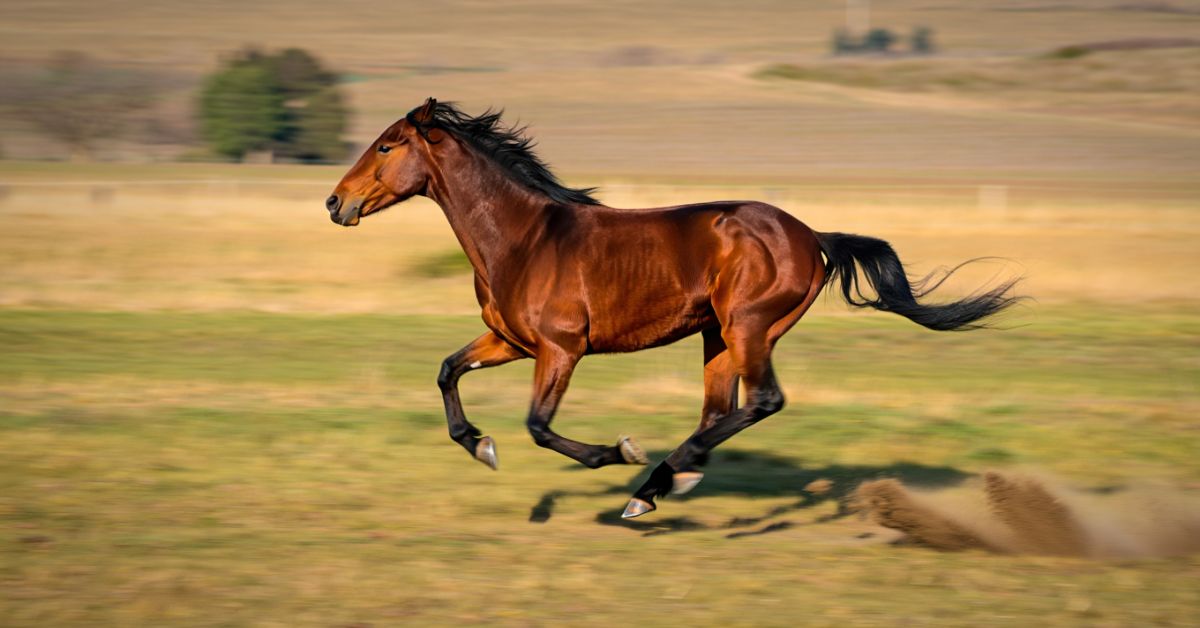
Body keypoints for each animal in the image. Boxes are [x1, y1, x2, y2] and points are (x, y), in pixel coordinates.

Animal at [327, 98, 1020, 519]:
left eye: (387, 146)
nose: (335, 202)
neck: (523, 239)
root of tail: (811, 236)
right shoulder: (510, 342)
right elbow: (447, 371)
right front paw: (480, 446)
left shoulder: (560, 349)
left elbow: (539, 426)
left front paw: (619, 452)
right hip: (716, 337)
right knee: (721, 410)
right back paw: (669, 482)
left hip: (747, 327)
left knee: (761, 402)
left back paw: (653, 483)